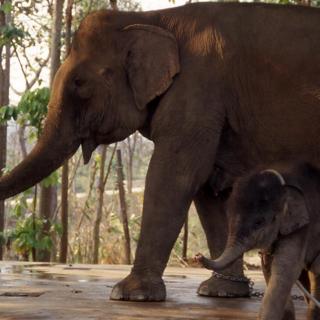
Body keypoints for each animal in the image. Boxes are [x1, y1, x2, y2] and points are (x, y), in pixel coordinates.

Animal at [0, 2, 320, 302]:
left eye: (80, 83)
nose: (197, 259)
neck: (157, 19)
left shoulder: (198, 89)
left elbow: (175, 175)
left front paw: (130, 295)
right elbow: (208, 190)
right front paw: (222, 291)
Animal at [196, 164, 320, 318]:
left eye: (258, 222)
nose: (198, 255)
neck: (284, 185)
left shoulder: (301, 227)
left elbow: (284, 269)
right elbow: (268, 267)